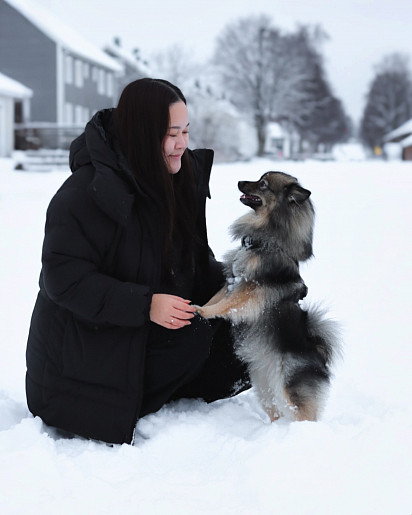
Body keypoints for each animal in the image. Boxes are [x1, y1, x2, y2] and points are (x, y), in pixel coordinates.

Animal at [196, 171, 342, 422]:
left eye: (262, 184)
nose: (239, 182)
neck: (264, 243)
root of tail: (318, 351)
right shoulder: (232, 280)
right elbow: (217, 299)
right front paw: (195, 306)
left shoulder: (251, 288)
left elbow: (226, 305)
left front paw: (203, 312)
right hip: (265, 389)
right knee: (275, 411)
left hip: (291, 390)